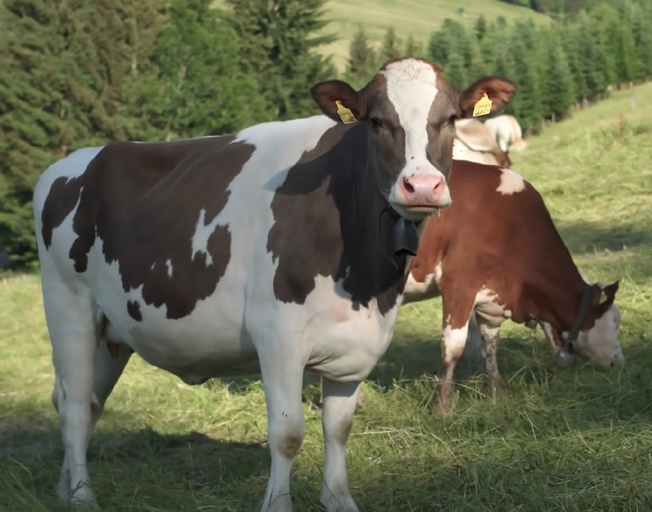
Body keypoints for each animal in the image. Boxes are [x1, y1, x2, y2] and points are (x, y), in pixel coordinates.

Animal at [34, 57, 516, 512]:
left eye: (450, 119)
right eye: (376, 121)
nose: (423, 186)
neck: (364, 282)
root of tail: (72, 162)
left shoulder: (358, 343)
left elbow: (339, 427)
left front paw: (339, 500)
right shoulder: (278, 334)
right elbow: (287, 432)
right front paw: (278, 504)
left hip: (112, 331)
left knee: (83, 401)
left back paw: (63, 488)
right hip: (68, 307)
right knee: (74, 407)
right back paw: (82, 496)